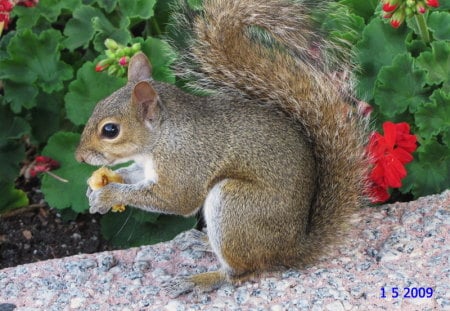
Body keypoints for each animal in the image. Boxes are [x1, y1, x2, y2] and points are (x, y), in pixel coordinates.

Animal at [74, 0, 370, 298]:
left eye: (110, 130)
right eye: (96, 104)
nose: (79, 156)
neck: (161, 138)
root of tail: (291, 250)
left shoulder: (185, 162)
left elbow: (177, 200)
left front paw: (108, 195)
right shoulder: (148, 167)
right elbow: (135, 175)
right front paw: (97, 186)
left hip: (235, 207)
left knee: (242, 271)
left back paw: (199, 280)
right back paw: (202, 241)